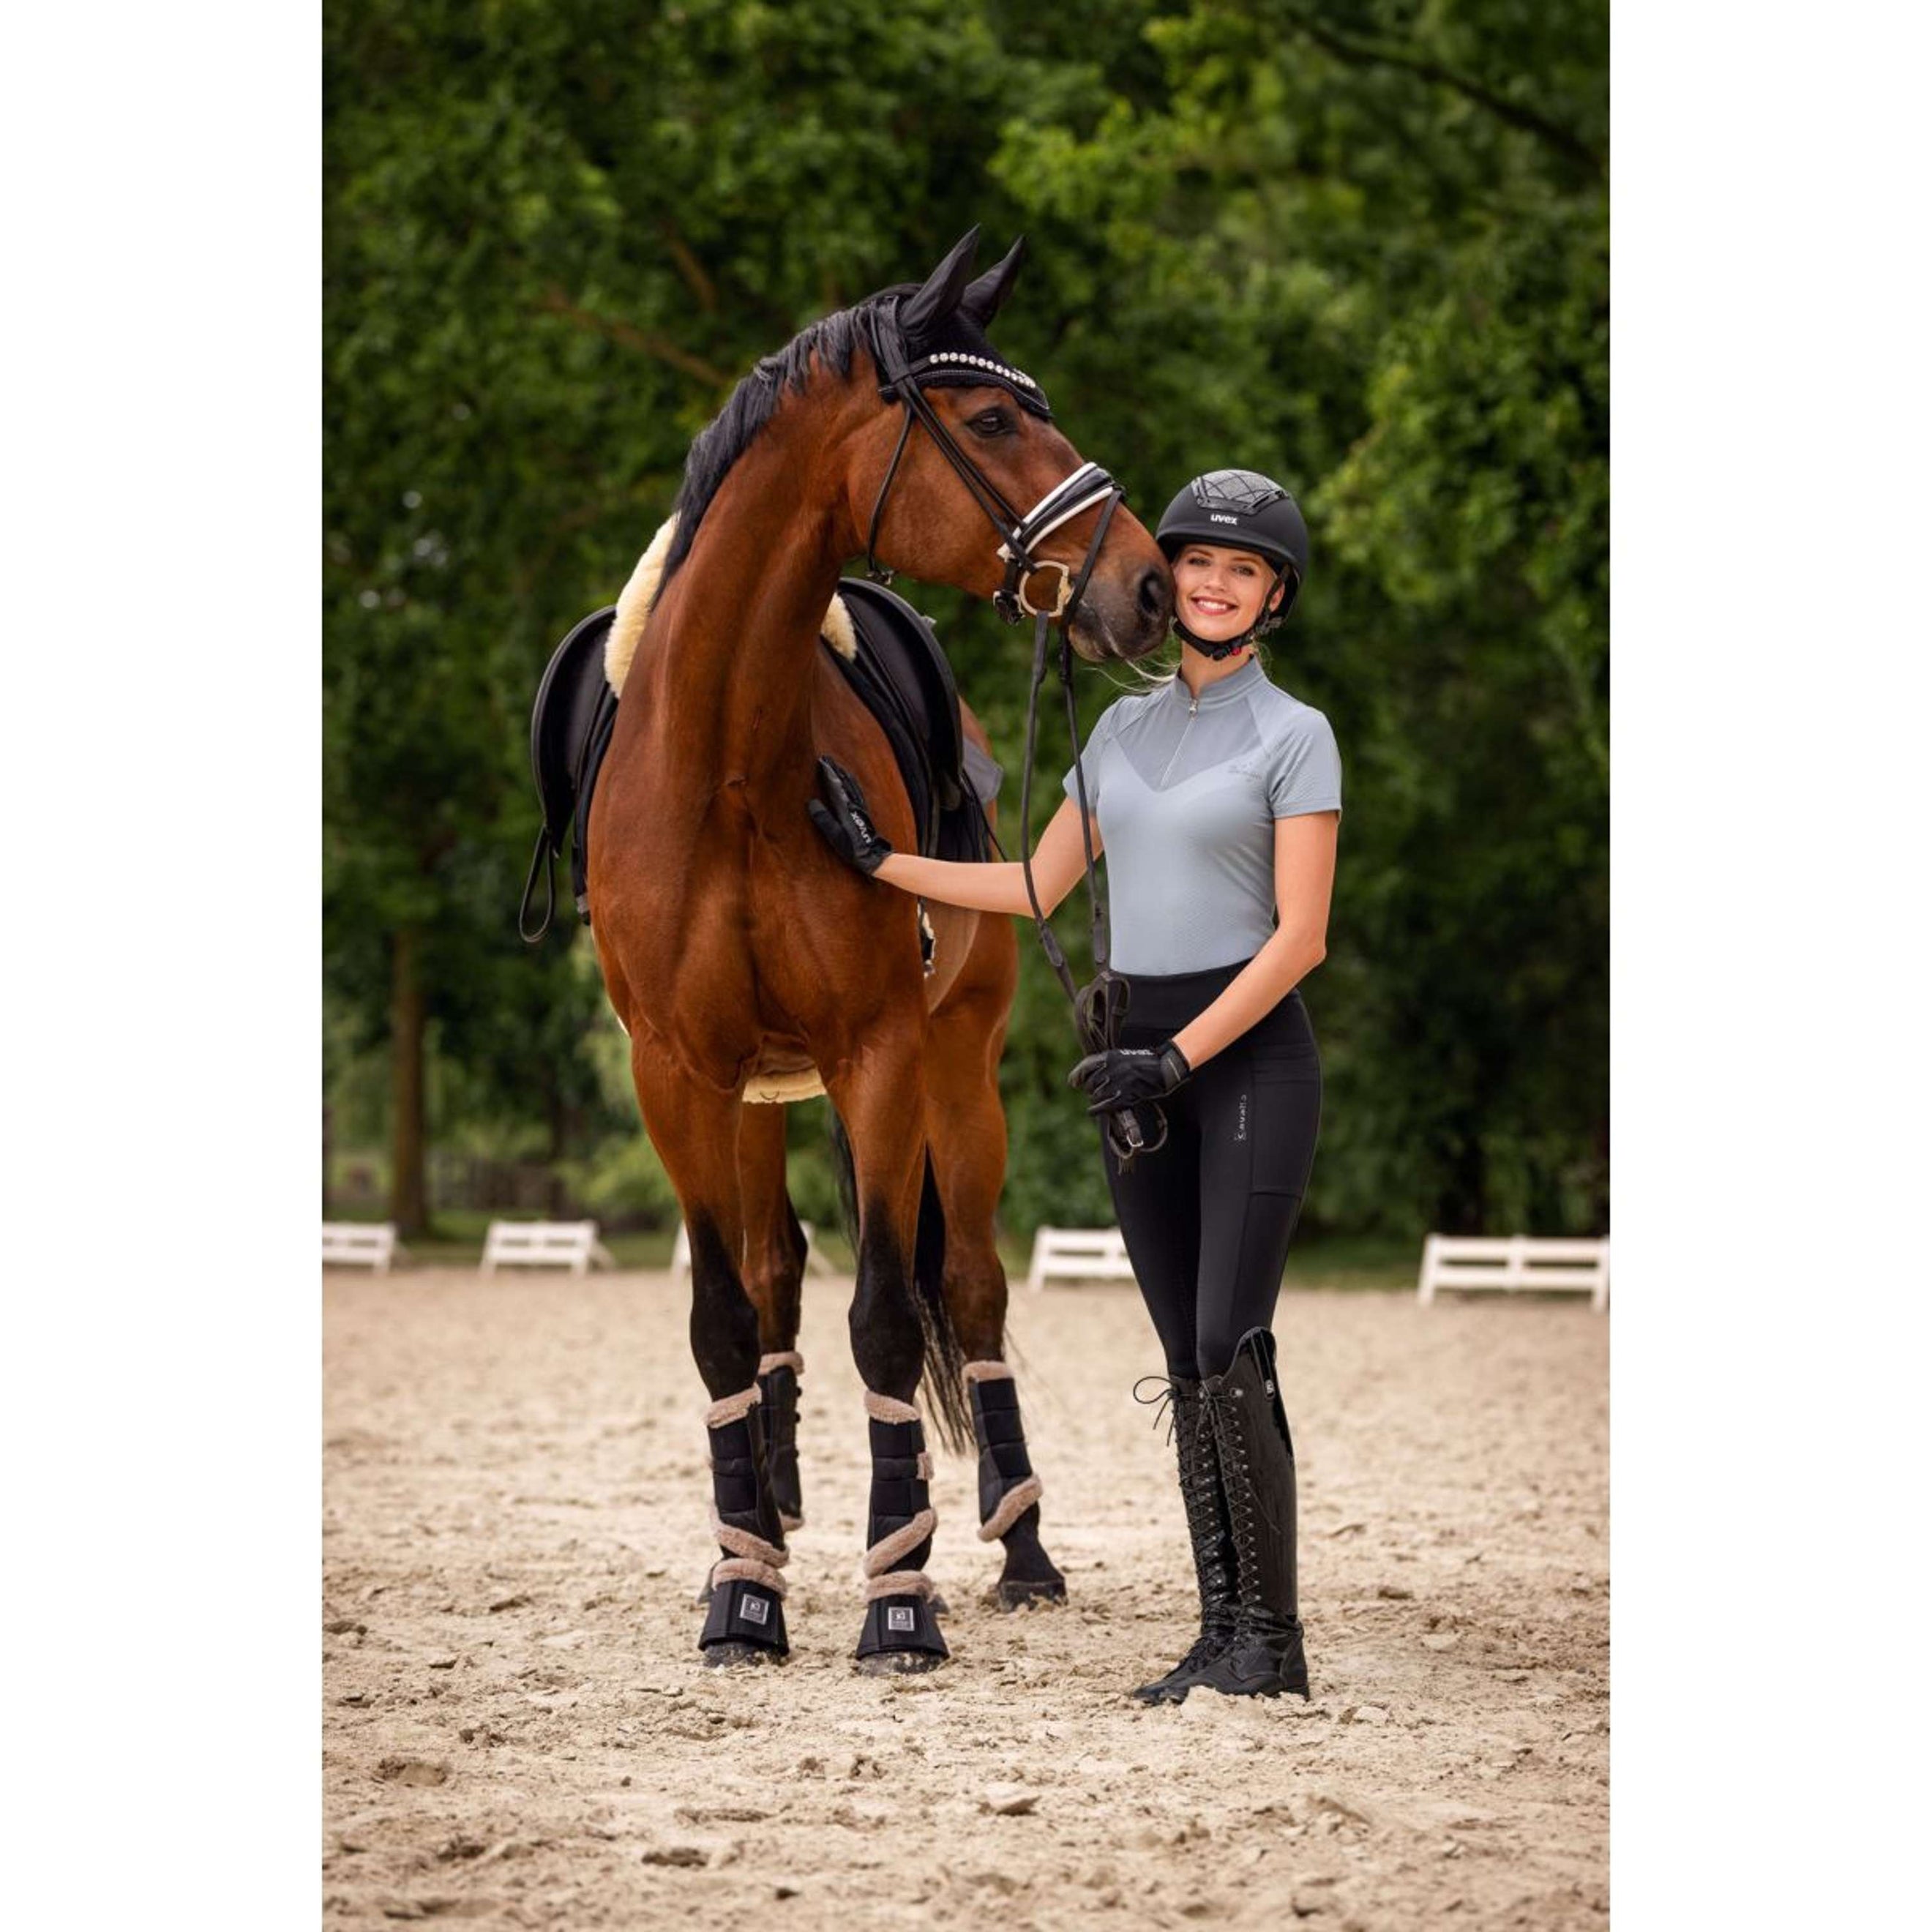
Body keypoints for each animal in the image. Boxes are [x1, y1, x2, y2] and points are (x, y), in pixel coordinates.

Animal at [586, 229, 1173, 1673]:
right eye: (996, 419)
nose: (1144, 582)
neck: (734, 767)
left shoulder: (881, 1057)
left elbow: (892, 1318)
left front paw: (898, 1601)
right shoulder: (676, 1074)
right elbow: (724, 1322)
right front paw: (743, 1592)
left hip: (957, 1078)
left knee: (968, 1290)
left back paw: (1018, 1550)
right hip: (751, 1098)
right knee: (775, 1283)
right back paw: (770, 1526)